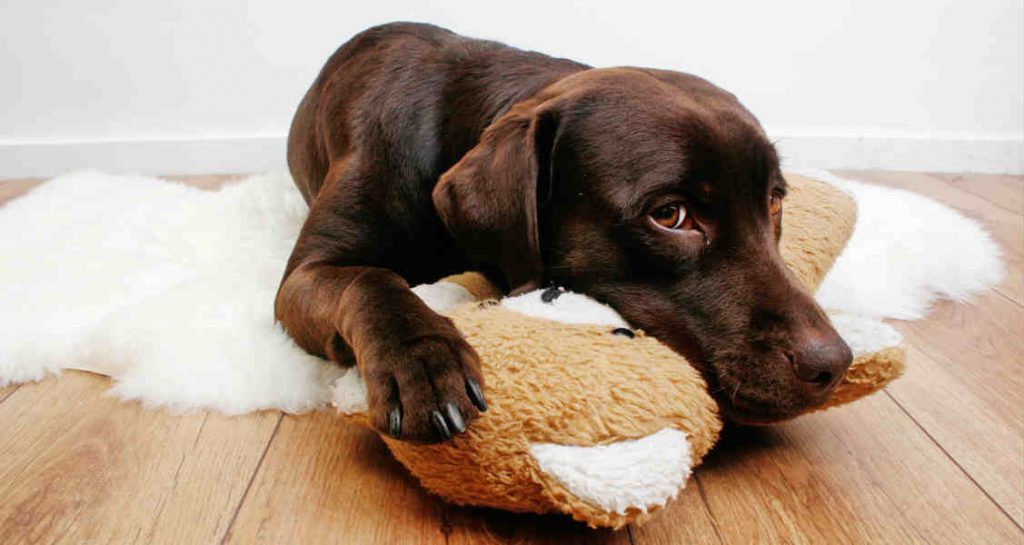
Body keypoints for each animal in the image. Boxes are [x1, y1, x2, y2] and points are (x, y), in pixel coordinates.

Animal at [276, 21, 851, 442]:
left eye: (774, 200)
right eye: (670, 215)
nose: (835, 364)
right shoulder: (304, 278)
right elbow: (370, 281)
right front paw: (423, 360)